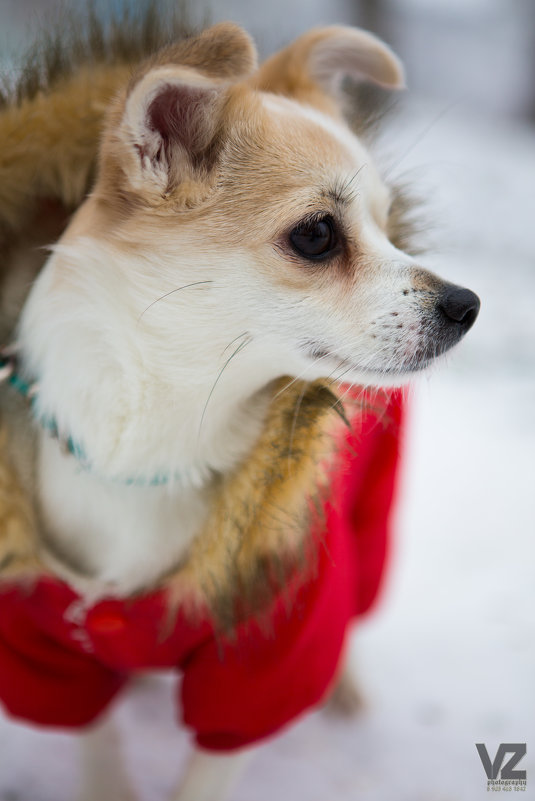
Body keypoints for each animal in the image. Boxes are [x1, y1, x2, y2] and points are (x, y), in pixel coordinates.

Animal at [0, 18, 482, 800]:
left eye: (389, 227)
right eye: (316, 234)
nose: (467, 305)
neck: (159, 443)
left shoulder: (270, 640)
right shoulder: (45, 651)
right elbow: (98, 749)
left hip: (360, 514)